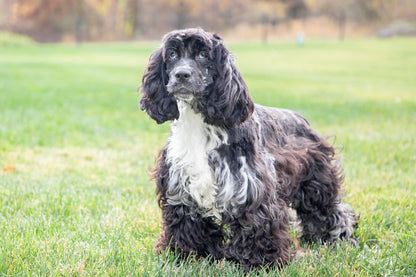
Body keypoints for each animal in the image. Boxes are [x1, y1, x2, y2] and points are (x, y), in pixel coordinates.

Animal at [139, 28, 358, 270]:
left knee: (333, 212)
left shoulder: (252, 190)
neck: (199, 124)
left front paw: (260, 262)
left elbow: (256, 225)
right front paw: (186, 255)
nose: (182, 75)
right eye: (172, 55)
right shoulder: (181, 189)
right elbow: (186, 225)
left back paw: (338, 238)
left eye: (203, 55)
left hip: (316, 187)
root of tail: (301, 119)